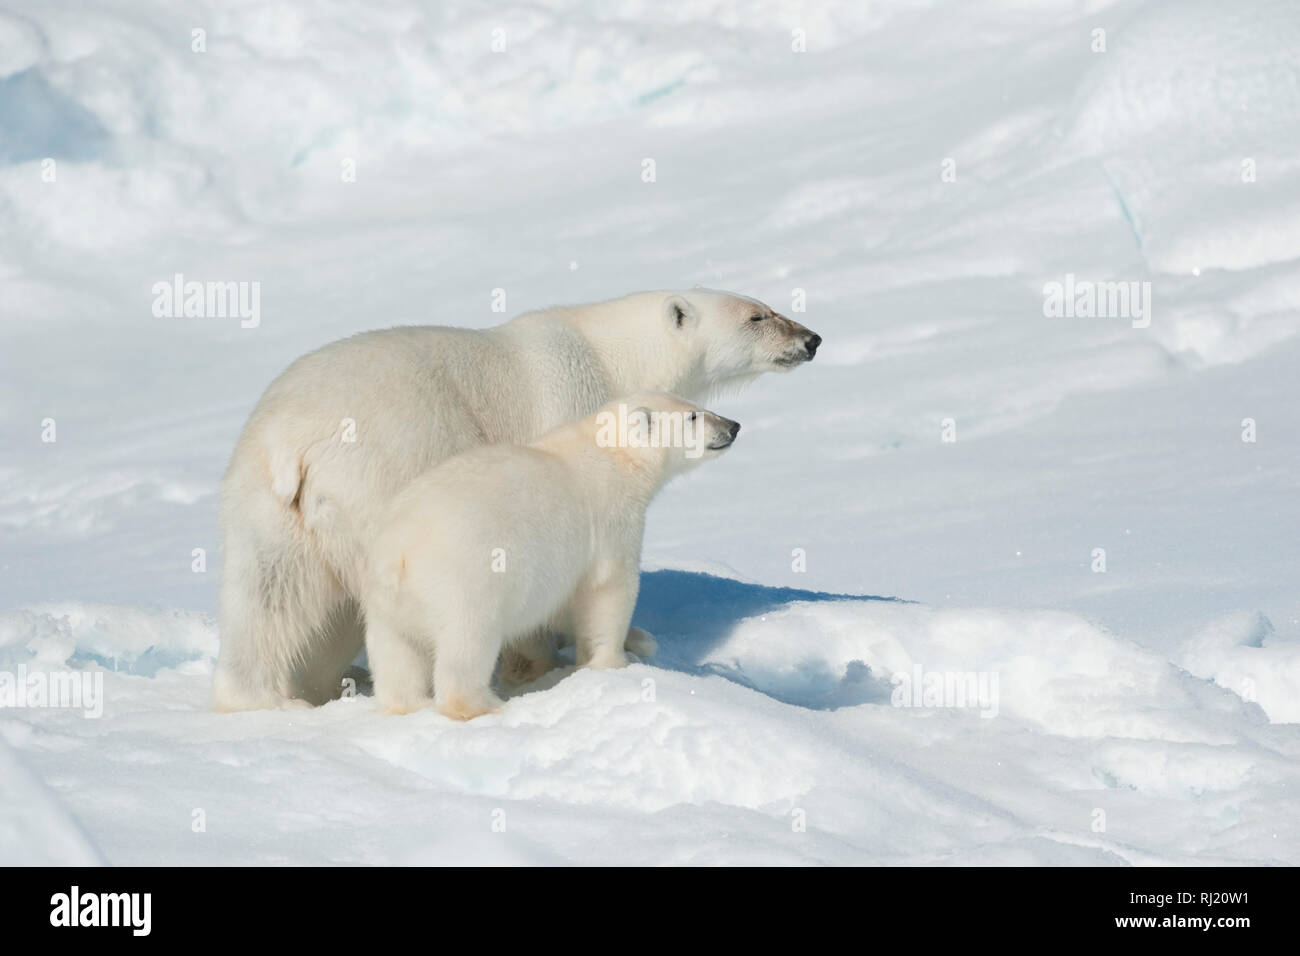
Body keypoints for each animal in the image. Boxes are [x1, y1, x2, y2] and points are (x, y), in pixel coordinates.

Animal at [361, 390, 743, 717]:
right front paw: (614, 662)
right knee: (466, 644)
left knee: (397, 654)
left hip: (385, 605)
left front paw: (640, 641)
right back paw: (488, 705)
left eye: (697, 406)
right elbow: (609, 590)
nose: (733, 426)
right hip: (464, 584)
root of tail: (399, 554)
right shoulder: (609, 520)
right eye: (693, 415)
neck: (611, 453)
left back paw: (408, 705)